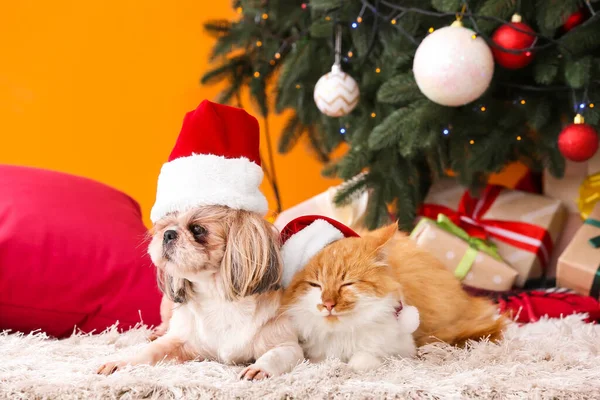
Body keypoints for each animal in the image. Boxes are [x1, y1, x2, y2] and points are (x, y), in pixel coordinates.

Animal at [99, 101, 304, 382]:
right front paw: (121, 362)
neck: (216, 295)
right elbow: (148, 353)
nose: (168, 234)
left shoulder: (287, 345)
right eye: (163, 225)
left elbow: (275, 356)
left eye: (197, 229)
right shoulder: (180, 342)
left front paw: (258, 369)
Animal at [282, 223, 506, 368]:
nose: (328, 304)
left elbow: (362, 360)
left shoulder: (402, 349)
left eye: (347, 283)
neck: (344, 333)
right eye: (315, 285)